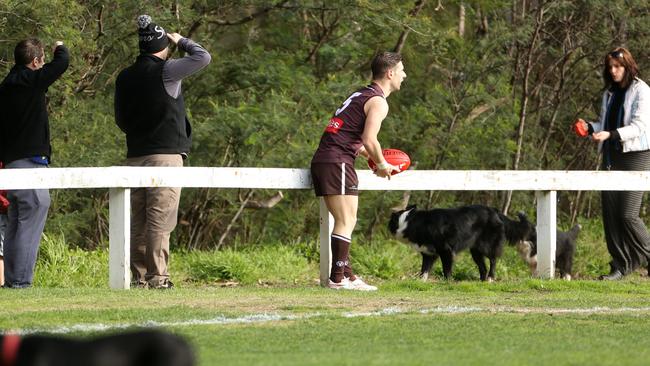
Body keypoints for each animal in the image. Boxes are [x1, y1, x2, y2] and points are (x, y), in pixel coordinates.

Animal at [384, 204, 532, 282]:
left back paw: (490, 278)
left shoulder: (446, 250)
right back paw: (482, 281)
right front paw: (421, 281)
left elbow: (446, 269)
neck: (410, 222)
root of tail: (495, 211)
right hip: (475, 250)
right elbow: (424, 269)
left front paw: (448, 282)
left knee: (493, 260)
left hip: (487, 246)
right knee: (482, 267)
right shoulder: (429, 254)